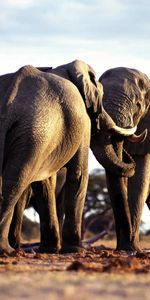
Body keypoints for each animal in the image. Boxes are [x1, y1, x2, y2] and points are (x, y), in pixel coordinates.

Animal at [0, 60, 140, 253]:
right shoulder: (83, 122)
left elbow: (45, 182)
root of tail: (8, 103)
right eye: (101, 96)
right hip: (34, 132)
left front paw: (50, 249)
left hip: (32, 134)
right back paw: (7, 249)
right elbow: (79, 174)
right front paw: (74, 249)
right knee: (15, 181)